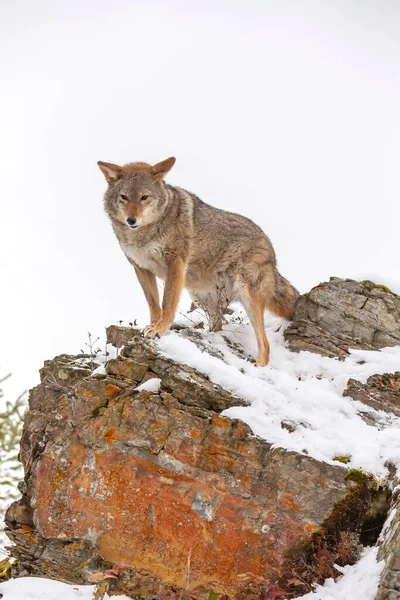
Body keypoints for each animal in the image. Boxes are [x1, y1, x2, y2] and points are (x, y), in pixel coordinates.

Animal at [97, 157, 296, 366]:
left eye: (144, 197)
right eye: (124, 197)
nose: (131, 220)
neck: (144, 234)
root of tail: (271, 251)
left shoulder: (175, 263)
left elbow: (167, 304)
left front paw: (159, 330)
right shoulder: (141, 268)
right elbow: (154, 304)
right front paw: (152, 326)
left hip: (246, 296)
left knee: (265, 344)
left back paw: (258, 366)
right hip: (199, 297)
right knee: (219, 324)